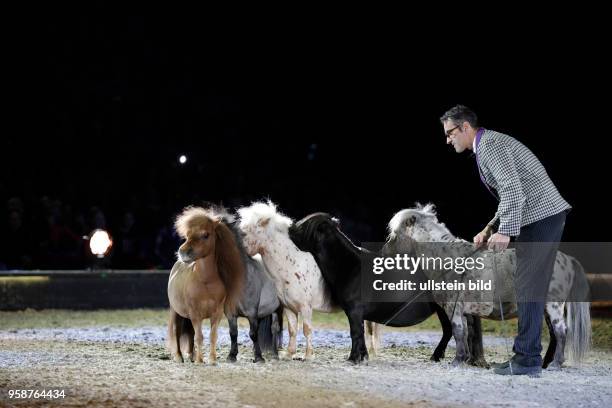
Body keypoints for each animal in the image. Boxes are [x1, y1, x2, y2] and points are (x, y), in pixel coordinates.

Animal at [167, 207, 246, 364]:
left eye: (206, 235)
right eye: (187, 234)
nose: (183, 252)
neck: (206, 282)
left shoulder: (216, 314)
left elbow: (212, 336)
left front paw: (212, 360)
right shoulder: (195, 314)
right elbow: (199, 337)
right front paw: (200, 361)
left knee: (190, 333)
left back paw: (191, 356)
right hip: (175, 311)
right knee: (176, 331)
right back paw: (179, 357)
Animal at [238, 201, 334, 360]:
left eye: (244, 232)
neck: (293, 265)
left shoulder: (306, 307)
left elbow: (307, 329)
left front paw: (308, 355)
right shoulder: (289, 307)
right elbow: (292, 329)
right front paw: (289, 353)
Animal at [290, 212, 486, 364]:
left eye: (304, 225)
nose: (290, 227)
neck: (351, 266)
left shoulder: (354, 311)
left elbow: (355, 333)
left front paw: (353, 358)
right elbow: (362, 334)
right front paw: (363, 357)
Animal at [384, 206, 592, 368]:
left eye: (394, 234)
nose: (383, 252)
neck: (450, 260)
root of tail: (567, 259)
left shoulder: (453, 308)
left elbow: (457, 332)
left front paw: (457, 361)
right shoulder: (464, 311)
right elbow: (466, 334)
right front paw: (465, 359)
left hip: (554, 305)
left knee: (561, 332)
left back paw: (555, 364)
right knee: (554, 336)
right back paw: (545, 363)